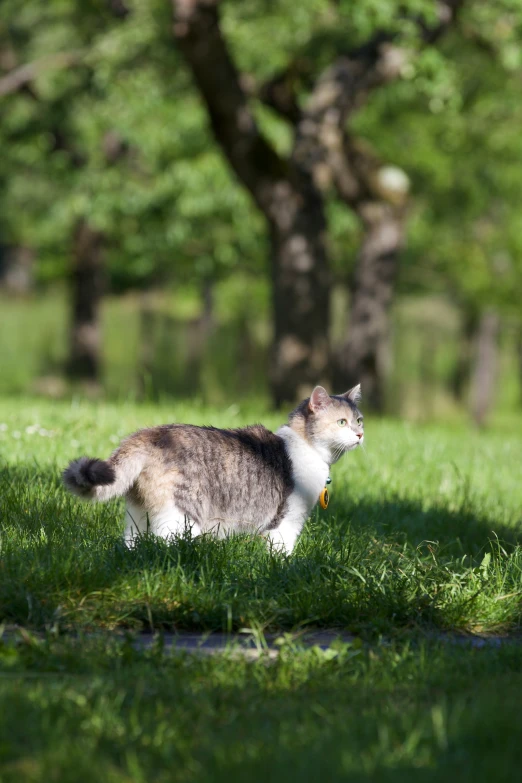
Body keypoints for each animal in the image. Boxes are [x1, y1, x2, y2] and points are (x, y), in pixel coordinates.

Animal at [62, 382, 362, 556]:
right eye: (342, 422)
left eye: (359, 420)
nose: (360, 434)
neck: (306, 449)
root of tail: (149, 433)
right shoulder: (287, 521)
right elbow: (281, 553)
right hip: (181, 518)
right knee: (164, 547)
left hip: (138, 515)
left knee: (133, 545)